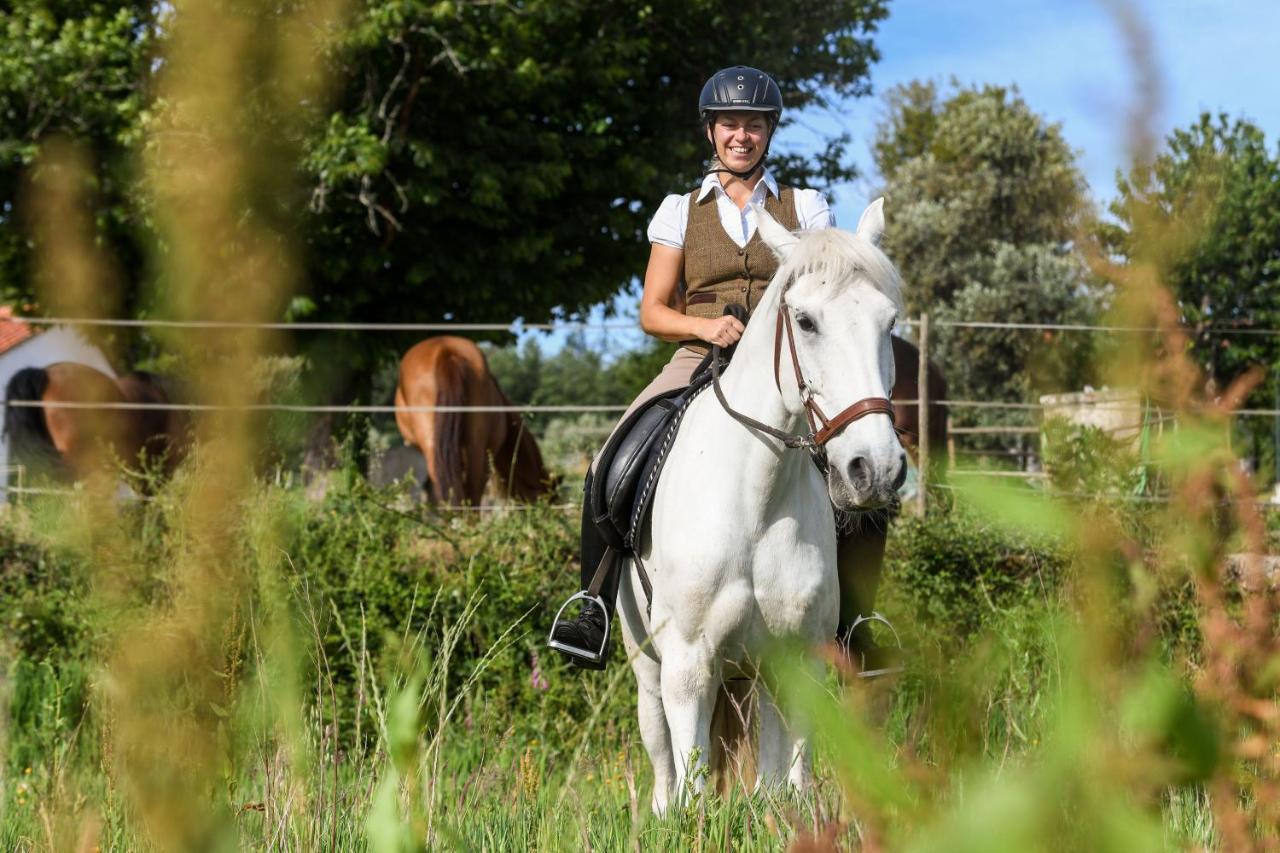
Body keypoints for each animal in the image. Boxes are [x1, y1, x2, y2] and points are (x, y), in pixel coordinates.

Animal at [614, 197, 906, 809]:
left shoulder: (799, 660)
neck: (756, 502)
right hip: (647, 665)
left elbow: (790, 784)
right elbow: (693, 790)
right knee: (662, 766)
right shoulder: (687, 668)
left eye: (889, 323)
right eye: (806, 321)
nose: (874, 469)